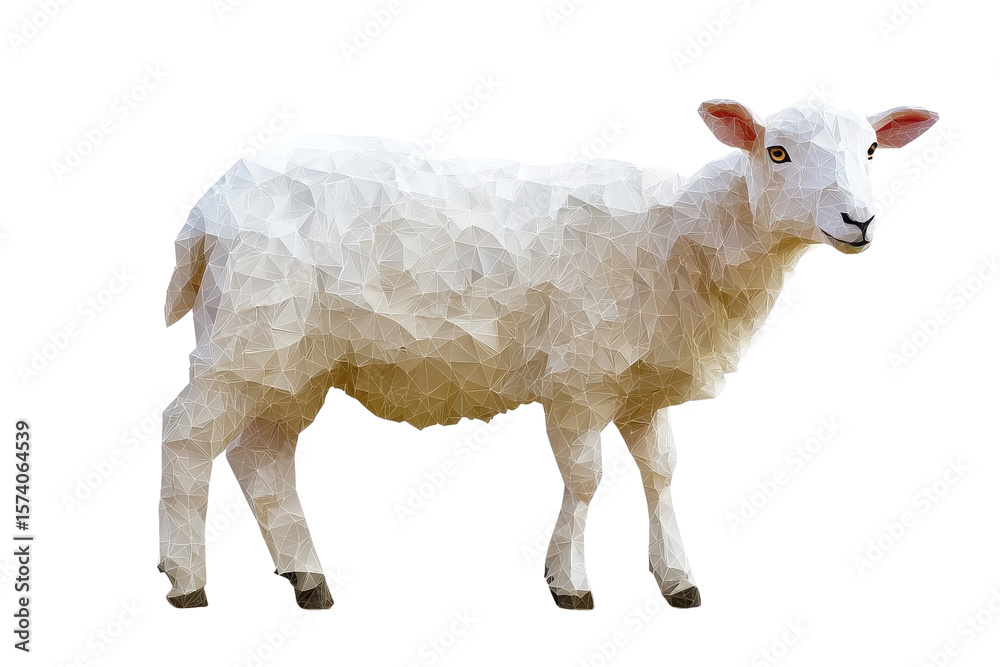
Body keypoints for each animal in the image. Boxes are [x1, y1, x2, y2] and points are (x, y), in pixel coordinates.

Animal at [160, 99, 938, 609]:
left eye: (872, 150)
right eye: (776, 151)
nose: (860, 220)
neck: (684, 233)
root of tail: (206, 211)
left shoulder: (641, 383)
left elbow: (661, 473)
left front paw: (677, 577)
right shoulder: (579, 378)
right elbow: (587, 477)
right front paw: (571, 581)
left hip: (290, 357)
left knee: (262, 456)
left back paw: (307, 578)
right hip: (248, 336)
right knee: (187, 436)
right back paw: (187, 579)